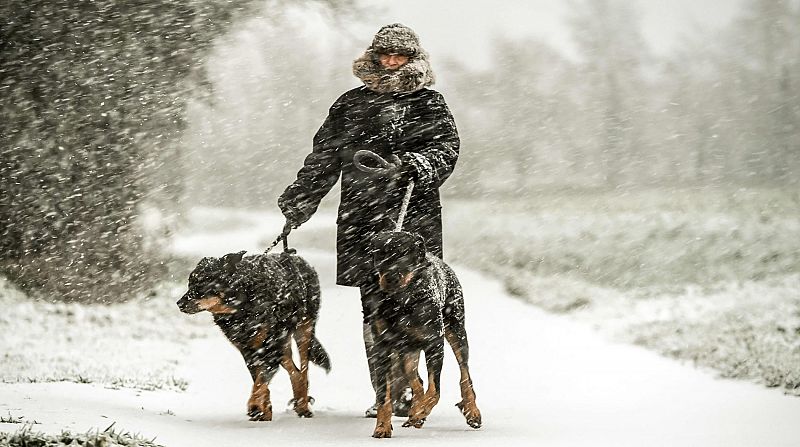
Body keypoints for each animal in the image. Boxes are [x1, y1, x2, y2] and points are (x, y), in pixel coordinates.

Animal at [178, 252, 332, 424]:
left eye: (201, 284)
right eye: (189, 283)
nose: (179, 303)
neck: (241, 306)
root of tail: (294, 255)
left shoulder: (270, 350)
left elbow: (260, 381)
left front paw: (255, 406)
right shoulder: (248, 352)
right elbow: (259, 380)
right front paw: (264, 412)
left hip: (303, 331)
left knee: (304, 369)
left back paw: (303, 407)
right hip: (282, 343)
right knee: (295, 372)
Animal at [368, 233, 482, 440]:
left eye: (405, 253)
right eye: (381, 253)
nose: (391, 278)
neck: (402, 301)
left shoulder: (434, 343)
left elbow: (435, 390)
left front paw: (420, 412)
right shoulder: (381, 346)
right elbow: (383, 394)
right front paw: (382, 427)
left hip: (456, 328)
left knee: (464, 372)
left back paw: (472, 412)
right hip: (406, 350)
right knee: (416, 380)